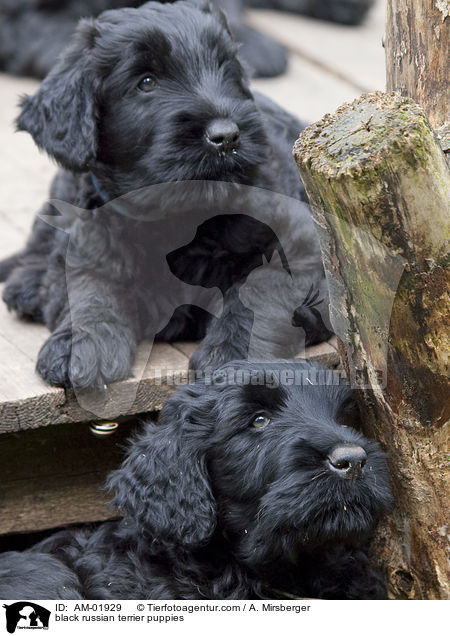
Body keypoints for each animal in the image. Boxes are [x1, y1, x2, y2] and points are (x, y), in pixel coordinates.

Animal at [0, 0, 330, 390]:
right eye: (146, 82)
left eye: (226, 69)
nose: (227, 136)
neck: (175, 217)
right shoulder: (91, 231)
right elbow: (89, 285)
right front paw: (80, 344)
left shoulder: (302, 241)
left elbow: (261, 288)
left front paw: (232, 353)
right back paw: (28, 283)